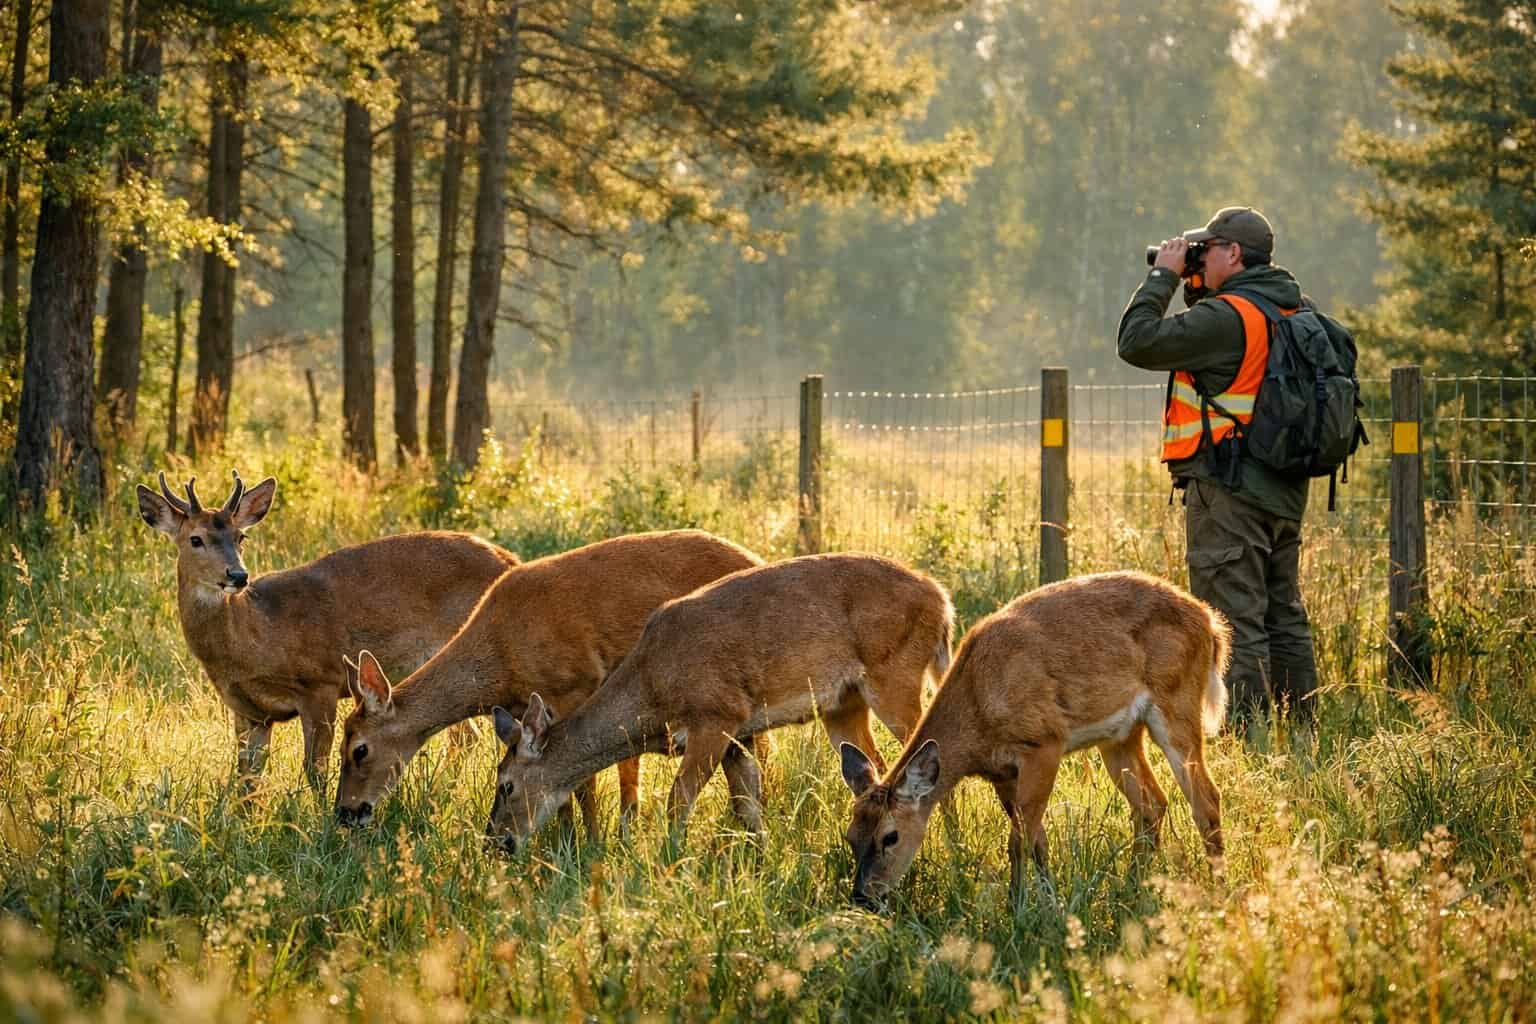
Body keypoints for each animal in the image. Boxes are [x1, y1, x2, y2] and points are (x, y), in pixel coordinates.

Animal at [137, 470, 521, 796]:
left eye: (240, 536)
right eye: (195, 539)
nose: (238, 575)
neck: (256, 634)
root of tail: (510, 559)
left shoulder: (320, 681)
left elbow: (315, 770)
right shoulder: (248, 710)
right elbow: (247, 778)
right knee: (464, 734)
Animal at [333, 530, 765, 834]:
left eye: (359, 749)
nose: (345, 812)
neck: (501, 658)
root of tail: (755, 555)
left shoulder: (576, 684)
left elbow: (583, 781)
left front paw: (585, 844)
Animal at [485, 552, 954, 852]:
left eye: (506, 785)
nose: (495, 842)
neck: (653, 692)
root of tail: (942, 600)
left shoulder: (717, 714)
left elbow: (678, 801)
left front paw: (666, 866)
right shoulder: (740, 733)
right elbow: (747, 805)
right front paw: (763, 864)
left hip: (895, 675)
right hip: (844, 704)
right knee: (877, 764)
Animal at [838, 571, 1230, 908]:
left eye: (890, 837)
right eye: (851, 836)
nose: (863, 898)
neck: (977, 708)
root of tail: (1210, 624)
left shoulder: (1044, 742)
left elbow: (1018, 840)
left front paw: (1017, 908)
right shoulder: (1002, 772)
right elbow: (1037, 838)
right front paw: (1050, 901)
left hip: (1177, 702)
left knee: (1206, 799)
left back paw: (1219, 893)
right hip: (1120, 736)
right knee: (1151, 804)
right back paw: (1134, 889)